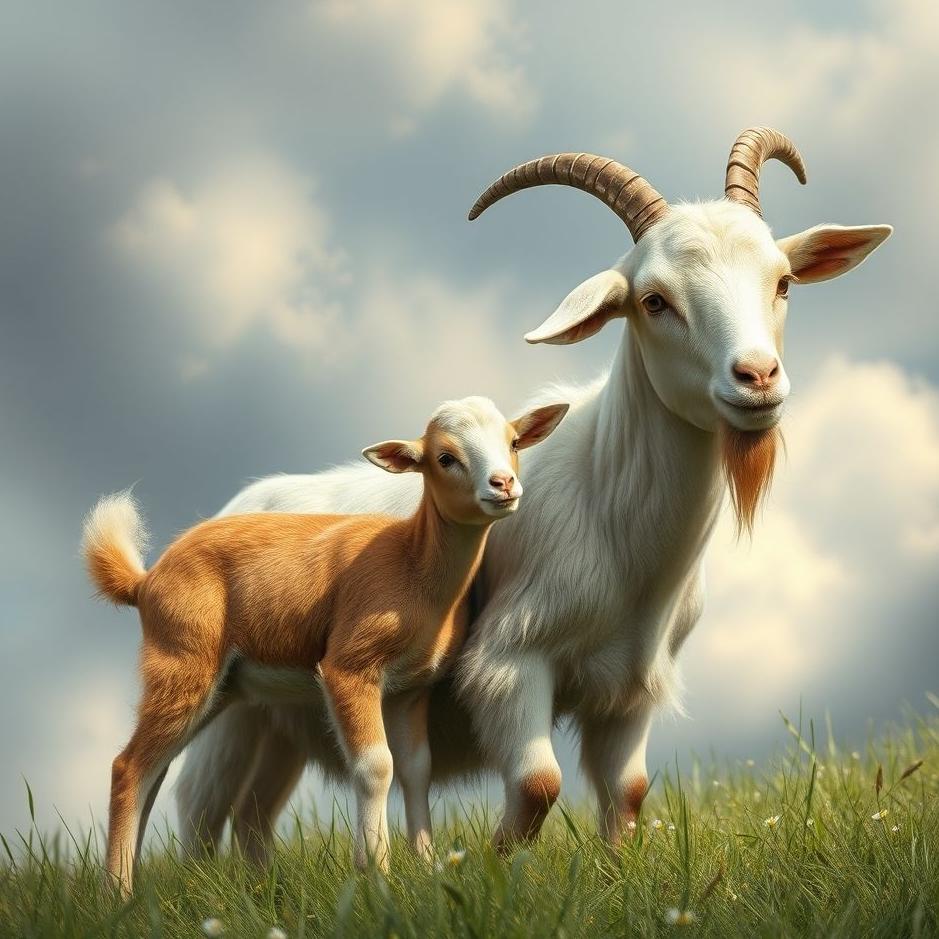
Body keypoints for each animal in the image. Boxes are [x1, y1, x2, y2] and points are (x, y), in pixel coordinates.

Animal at [82, 396, 568, 894]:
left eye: (513, 442)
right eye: (444, 457)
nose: (503, 484)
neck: (413, 563)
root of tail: (144, 582)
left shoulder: (411, 689)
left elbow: (417, 769)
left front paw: (428, 865)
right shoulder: (349, 668)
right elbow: (376, 766)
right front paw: (376, 873)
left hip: (219, 689)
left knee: (153, 772)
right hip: (182, 664)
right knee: (128, 767)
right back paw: (117, 894)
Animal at [175, 127, 891, 856]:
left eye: (783, 282)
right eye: (653, 300)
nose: (757, 378)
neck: (609, 505)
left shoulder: (631, 691)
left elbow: (628, 793)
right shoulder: (510, 663)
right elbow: (538, 783)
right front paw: (486, 862)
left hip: (283, 721)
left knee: (253, 814)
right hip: (226, 710)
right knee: (198, 808)